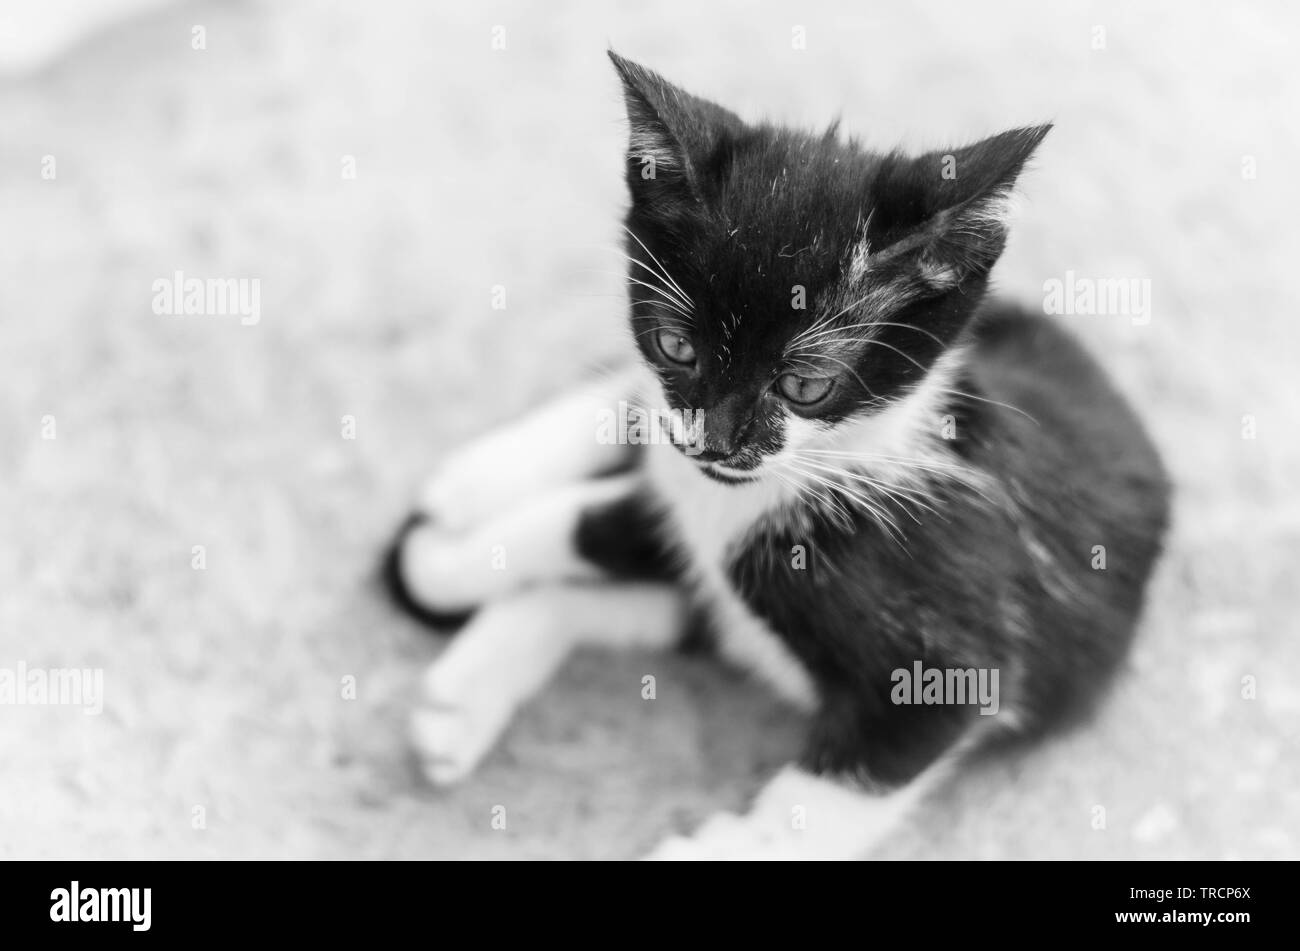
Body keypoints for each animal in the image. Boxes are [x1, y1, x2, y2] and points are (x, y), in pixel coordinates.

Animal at [382, 53, 1170, 862]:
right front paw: (451, 557)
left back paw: (464, 687)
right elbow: (593, 514)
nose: (715, 439)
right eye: (677, 345)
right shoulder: (692, 484)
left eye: (806, 386)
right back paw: (478, 481)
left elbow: (825, 796)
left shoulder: (950, 654)